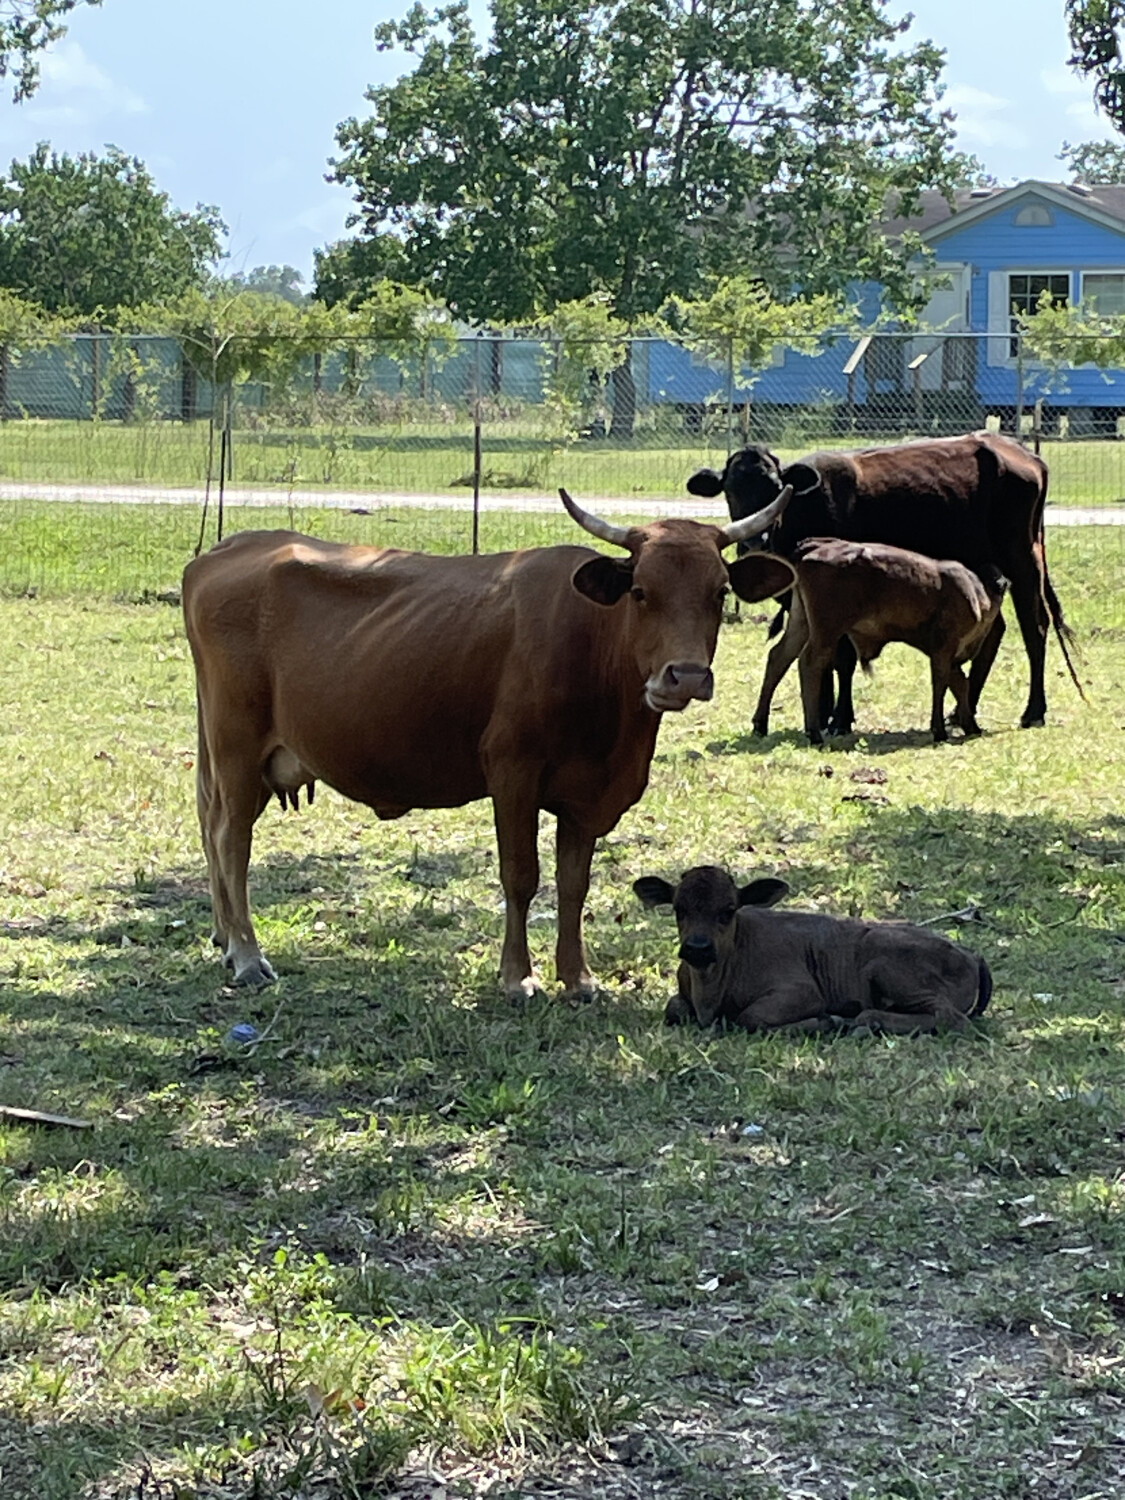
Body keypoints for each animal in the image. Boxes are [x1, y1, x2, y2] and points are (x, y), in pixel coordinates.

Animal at [181, 487, 796, 999]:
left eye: (719, 591)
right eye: (641, 592)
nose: (685, 676)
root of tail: (226, 549)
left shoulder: (586, 796)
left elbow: (573, 885)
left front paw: (577, 976)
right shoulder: (512, 772)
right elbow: (521, 877)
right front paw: (517, 976)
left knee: (212, 827)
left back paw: (223, 938)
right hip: (238, 749)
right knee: (231, 841)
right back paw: (246, 953)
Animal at [633, 865, 992, 1035]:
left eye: (728, 910)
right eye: (678, 909)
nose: (698, 947)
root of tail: (969, 953)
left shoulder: (802, 992)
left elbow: (750, 1017)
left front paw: (822, 1022)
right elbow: (674, 1008)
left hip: (884, 964)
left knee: (949, 1018)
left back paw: (854, 1022)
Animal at [751, 538, 1008, 744]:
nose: (1001, 583)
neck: (975, 590)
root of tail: (815, 546)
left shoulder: (949, 654)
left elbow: (960, 684)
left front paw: (971, 726)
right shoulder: (943, 648)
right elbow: (942, 684)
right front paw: (939, 731)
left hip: (800, 622)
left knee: (779, 657)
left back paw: (760, 725)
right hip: (826, 630)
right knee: (809, 663)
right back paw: (813, 733)